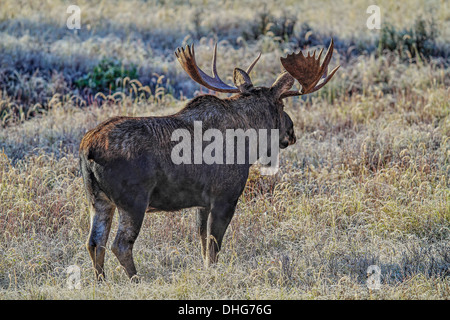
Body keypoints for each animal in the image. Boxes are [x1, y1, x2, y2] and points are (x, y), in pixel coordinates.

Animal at [79, 39, 340, 280]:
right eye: (282, 104)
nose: (292, 132)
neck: (250, 141)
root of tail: (87, 149)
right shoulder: (225, 196)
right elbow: (214, 245)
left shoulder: (202, 202)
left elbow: (203, 242)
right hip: (133, 201)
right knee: (120, 244)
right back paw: (136, 280)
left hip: (98, 200)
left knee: (94, 242)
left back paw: (101, 281)